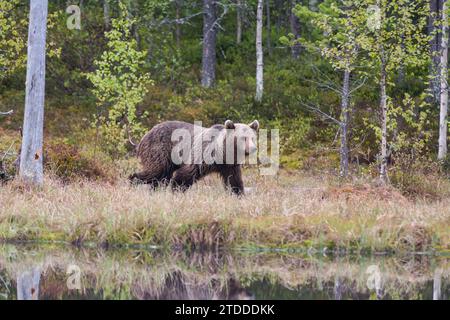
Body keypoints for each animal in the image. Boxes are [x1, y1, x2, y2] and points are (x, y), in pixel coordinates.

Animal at [128, 120, 258, 195]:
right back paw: (132, 182)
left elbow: (234, 180)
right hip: (160, 149)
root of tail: (145, 135)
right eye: (243, 138)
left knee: (161, 177)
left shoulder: (230, 165)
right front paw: (177, 189)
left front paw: (238, 193)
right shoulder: (203, 154)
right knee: (155, 171)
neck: (222, 153)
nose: (253, 148)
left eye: (252, 137)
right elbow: (187, 173)